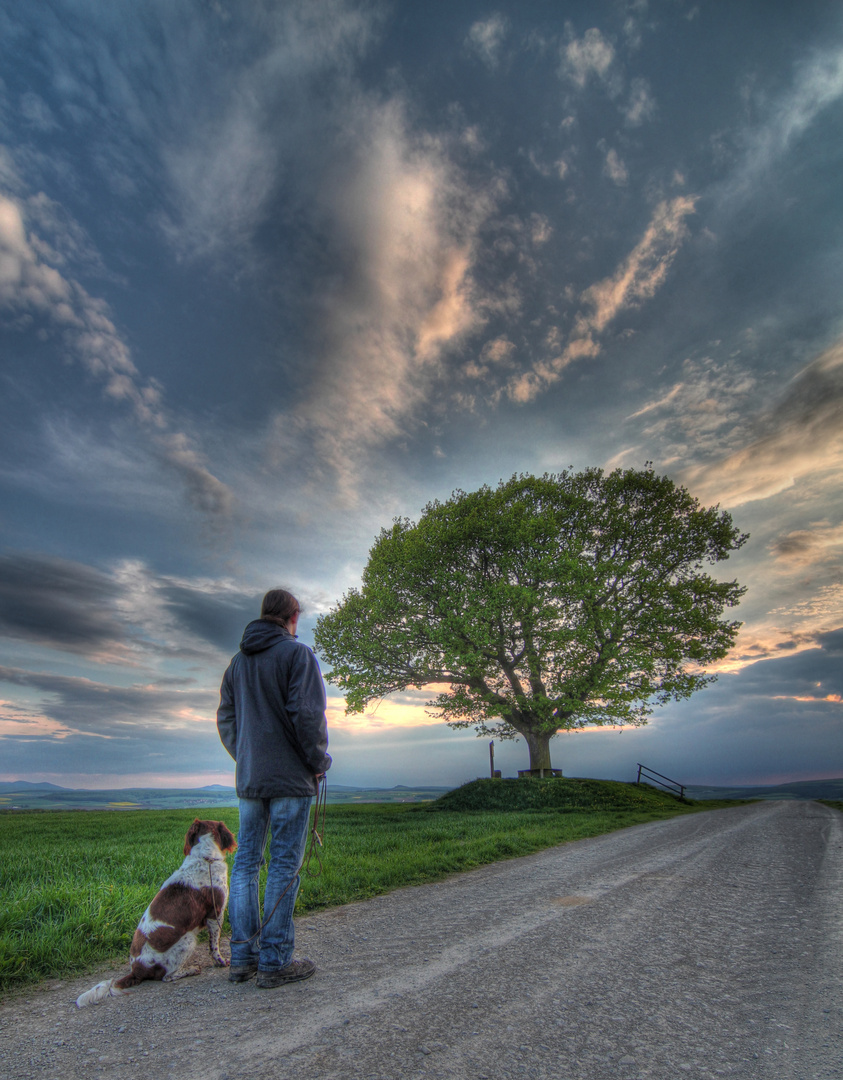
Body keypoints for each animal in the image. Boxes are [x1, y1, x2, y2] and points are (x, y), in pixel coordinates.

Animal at [75, 820, 235, 1006]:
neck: (205, 857)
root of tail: (136, 971)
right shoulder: (215, 914)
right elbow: (214, 945)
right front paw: (221, 962)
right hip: (187, 940)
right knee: (167, 977)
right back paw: (191, 969)